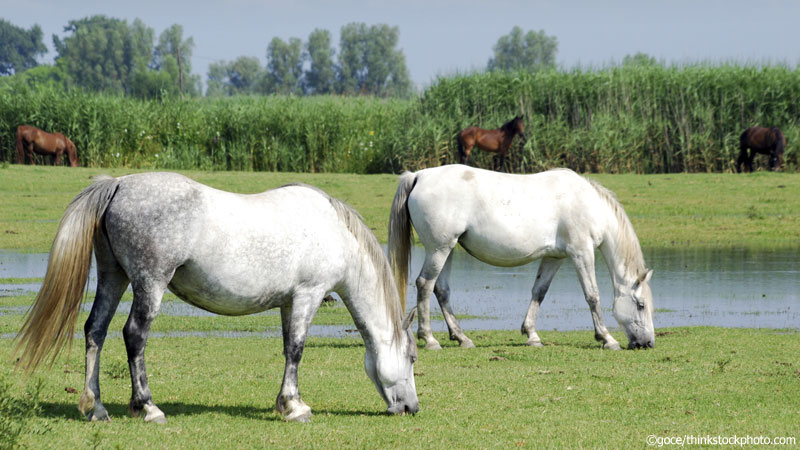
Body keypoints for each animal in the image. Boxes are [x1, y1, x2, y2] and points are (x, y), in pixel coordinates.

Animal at [14, 172, 418, 423]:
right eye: (412, 358)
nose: (411, 407)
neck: (334, 232)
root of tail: (118, 185)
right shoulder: (309, 294)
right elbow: (297, 349)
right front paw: (297, 407)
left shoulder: (289, 302)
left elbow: (287, 347)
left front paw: (283, 403)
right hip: (149, 284)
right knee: (134, 336)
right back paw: (148, 408)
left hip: (114, 277)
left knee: (95, 330)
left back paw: (96, 407)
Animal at [389, 165, 655, 351]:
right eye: (641, 305)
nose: (647, 343)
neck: (588, 204)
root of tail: (419, 176)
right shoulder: (582, 252)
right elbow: (592, 296)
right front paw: (607, 338)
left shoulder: (554, 257)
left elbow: (539, 292)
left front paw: (532, 335)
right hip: (439, 249)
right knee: (425, 284)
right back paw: (430, 339)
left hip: (448, 248)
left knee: (441, 289)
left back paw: (462, 338)